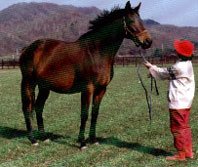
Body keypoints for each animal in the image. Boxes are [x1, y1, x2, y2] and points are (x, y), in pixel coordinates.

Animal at [19, 0, 152, 148]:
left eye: (140, 20)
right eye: (131, 20)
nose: (148, 41)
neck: (96, 52)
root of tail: (28, 48)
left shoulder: (101, 89)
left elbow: (95, 113)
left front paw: (93, 140)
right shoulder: (87, 88)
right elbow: (85, 114)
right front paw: (82, 142)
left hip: (44, 87)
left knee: (38, 107)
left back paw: (44, 137)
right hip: (29, 83)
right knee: (27, 108)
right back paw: (33, 140)